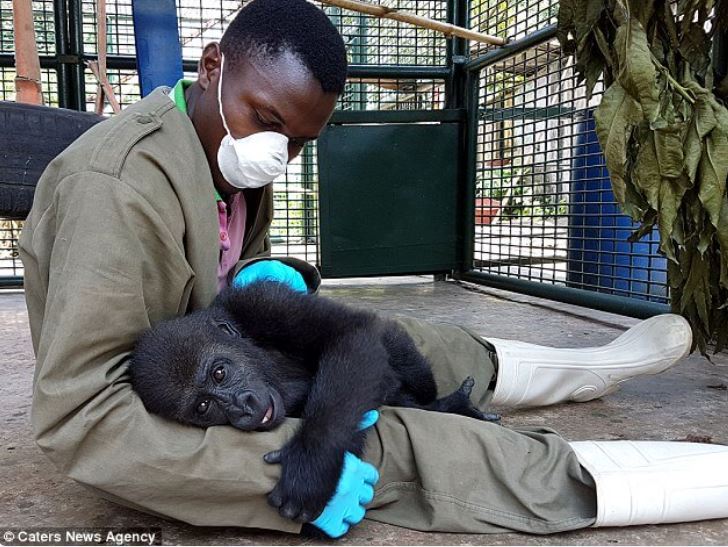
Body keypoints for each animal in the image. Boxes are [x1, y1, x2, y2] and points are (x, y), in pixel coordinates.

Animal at [132, 282, 494, 528]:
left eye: (219, 373)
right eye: (204, 407)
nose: (241, 408)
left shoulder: (262, 301)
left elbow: (351, 333)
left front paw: (312, 464)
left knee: (397, 347)